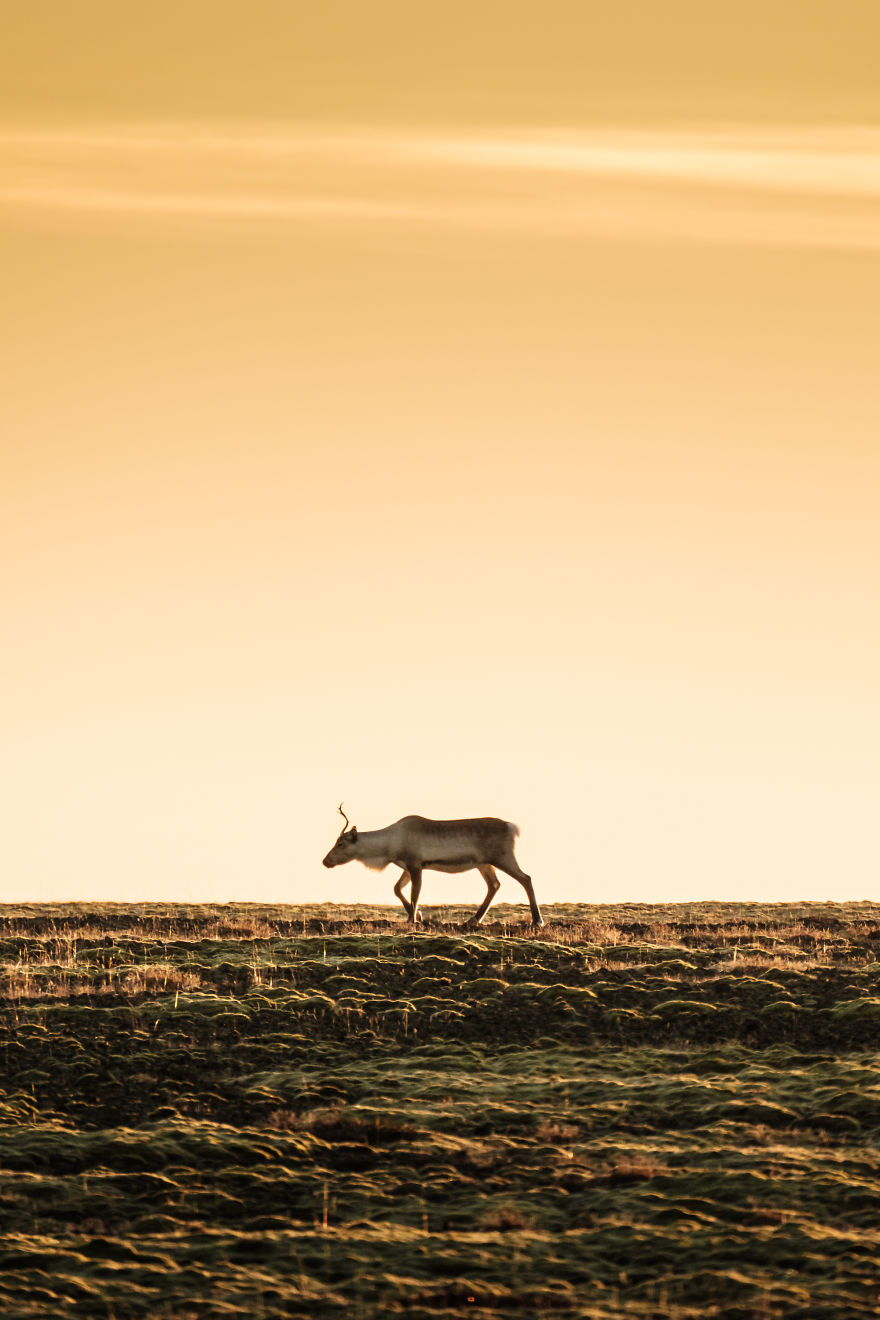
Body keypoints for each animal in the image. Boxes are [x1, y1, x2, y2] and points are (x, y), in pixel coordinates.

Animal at [322, 804, 544, 926]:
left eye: (340, 843)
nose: (325, 861)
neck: (389, 845)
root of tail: (512, 827)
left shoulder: (415, 864)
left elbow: (415, 894)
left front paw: (413, 919)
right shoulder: (407, 866)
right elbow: (396, 889)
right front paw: (417, 916)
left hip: (503, 857)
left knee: (525, 878)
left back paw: (537, 920)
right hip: (484, 863)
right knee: (494, 885)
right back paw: (473, 920)